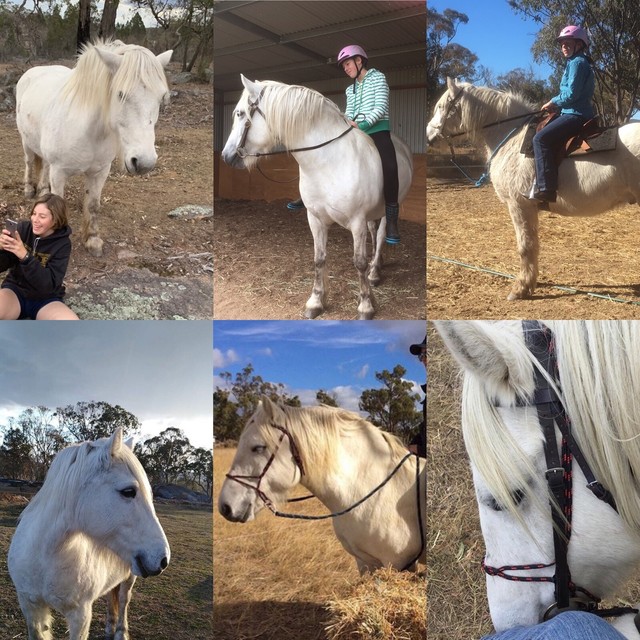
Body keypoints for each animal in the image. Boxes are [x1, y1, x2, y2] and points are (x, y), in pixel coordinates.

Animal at [8, 428, 170, 640]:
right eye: (128, 491)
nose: (164, 559)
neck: (44, 558)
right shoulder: (30, 607)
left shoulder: (80, 616)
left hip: (130, 577)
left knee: (124, 600)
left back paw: (120, 632)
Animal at [15, 40, 173, 257]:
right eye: (120, 94)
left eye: (161, 97)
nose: (144, 163)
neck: (89, 131)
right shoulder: (59, 173)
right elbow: (57, 204)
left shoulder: (100, 172)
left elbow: (93, 205)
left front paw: (92, 240)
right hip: (26, 142)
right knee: (30, 162)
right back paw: (30, 190)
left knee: (44, 165)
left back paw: (42, 191)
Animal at [221, 75, 414, 320]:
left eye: (239, 114)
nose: (226, 156)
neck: (328, 162)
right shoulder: (315, 219)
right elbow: (319, 259)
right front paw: (315, 302)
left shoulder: (356, 221)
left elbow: (358, 262)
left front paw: (365, 305)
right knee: (373, 232)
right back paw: (376, 265)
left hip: (389, 208)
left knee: (380, 236)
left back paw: (374, 273)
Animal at [427, 77, 640, 301]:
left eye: (441, 107)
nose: (429, 136)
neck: (512, 139)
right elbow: (533, 246)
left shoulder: (519, 205)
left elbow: (525, 246)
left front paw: (520, 288)